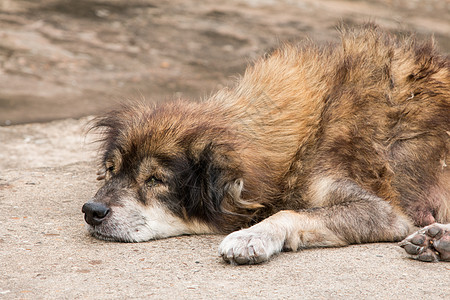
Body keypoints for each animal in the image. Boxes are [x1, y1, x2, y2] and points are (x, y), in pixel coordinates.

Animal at [81, 24, 450, 264]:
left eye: (155, 180)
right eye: (111, 170)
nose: (92, 211)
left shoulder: (383, 212)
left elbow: (289, 212)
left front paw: (251, 235)